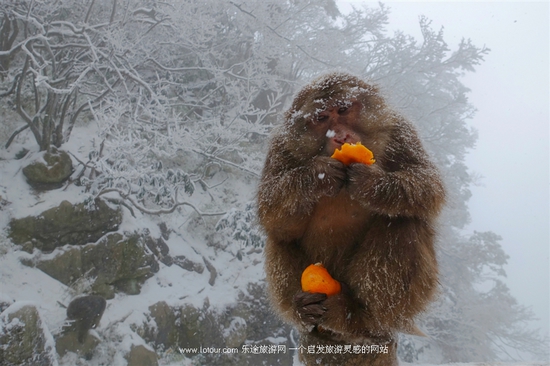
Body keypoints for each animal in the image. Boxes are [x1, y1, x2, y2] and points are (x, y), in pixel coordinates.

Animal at [260, 72, 448, 366]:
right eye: (321, 118)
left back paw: (360, 316)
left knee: (405, 223)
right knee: (279, 238)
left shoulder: (400, 131)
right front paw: (316, 176)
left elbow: (428, 184)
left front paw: (373, 185)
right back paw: (303, 311)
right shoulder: (281, 148)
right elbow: (270, 212)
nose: (341, 136)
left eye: (343, 110)